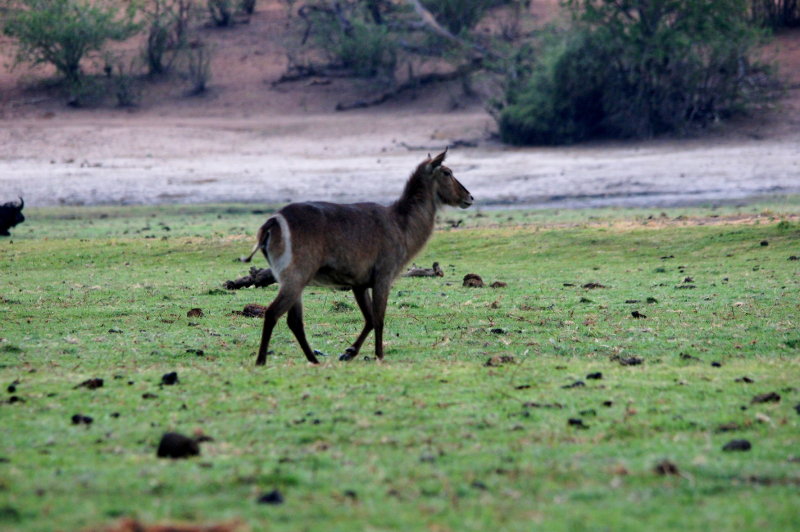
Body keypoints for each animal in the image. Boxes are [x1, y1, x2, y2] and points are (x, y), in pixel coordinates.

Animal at [241, 150, 472, 366]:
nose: (470, 197)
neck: (401, 224)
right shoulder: (383, 277)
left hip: (293, 280)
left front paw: (349, 352)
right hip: (296, 276)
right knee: (273, 313)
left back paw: (314, 360)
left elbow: (369, 319)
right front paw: (379, 355)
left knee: (294, 320)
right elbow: (379, 318)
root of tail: (271, 222)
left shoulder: (359, 284)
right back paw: (261, 361)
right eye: (447, 172)